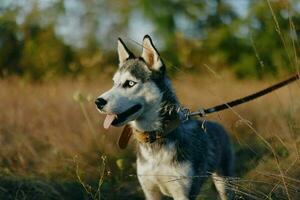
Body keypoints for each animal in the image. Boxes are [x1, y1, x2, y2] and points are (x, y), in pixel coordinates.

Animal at [95, 35, 234, 199]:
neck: (156, 137)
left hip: (224, 184)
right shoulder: (150, 192)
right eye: (114, 83)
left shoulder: (182, 193)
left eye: (130, 83)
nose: (98, 102)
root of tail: (218, 125)